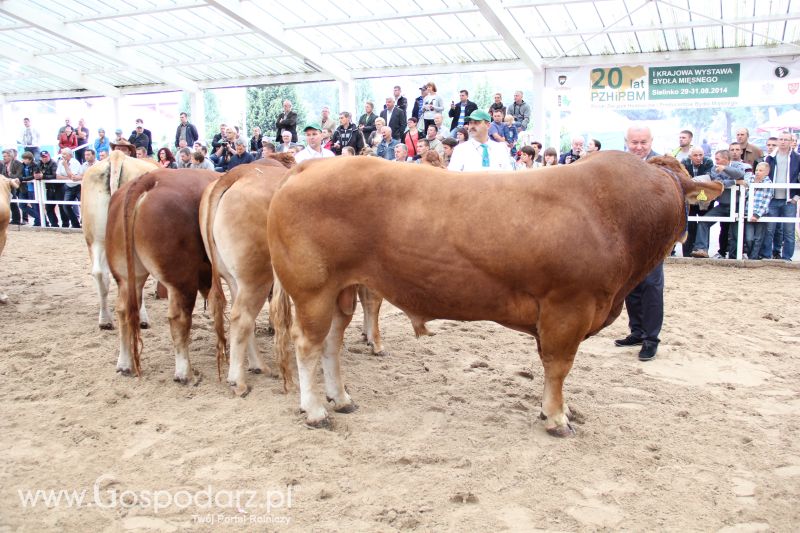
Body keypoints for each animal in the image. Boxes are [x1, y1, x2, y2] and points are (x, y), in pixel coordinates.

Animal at [108, 168, 219, 380]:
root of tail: (150, 178)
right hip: (182, 279)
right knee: (179, 318)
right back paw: (184, 373)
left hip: (126, 276)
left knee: (124, 310)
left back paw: (124, 364)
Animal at [268, 152, 724, 434]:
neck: (614, 212)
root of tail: (308, 167)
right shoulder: (568, 307)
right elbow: (559, 366)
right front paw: (557, 417)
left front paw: (556, 409)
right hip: (312, 289)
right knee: (307, 346)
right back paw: (316, 411)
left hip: (340, 291)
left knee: (331, 343)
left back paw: (341, 398)